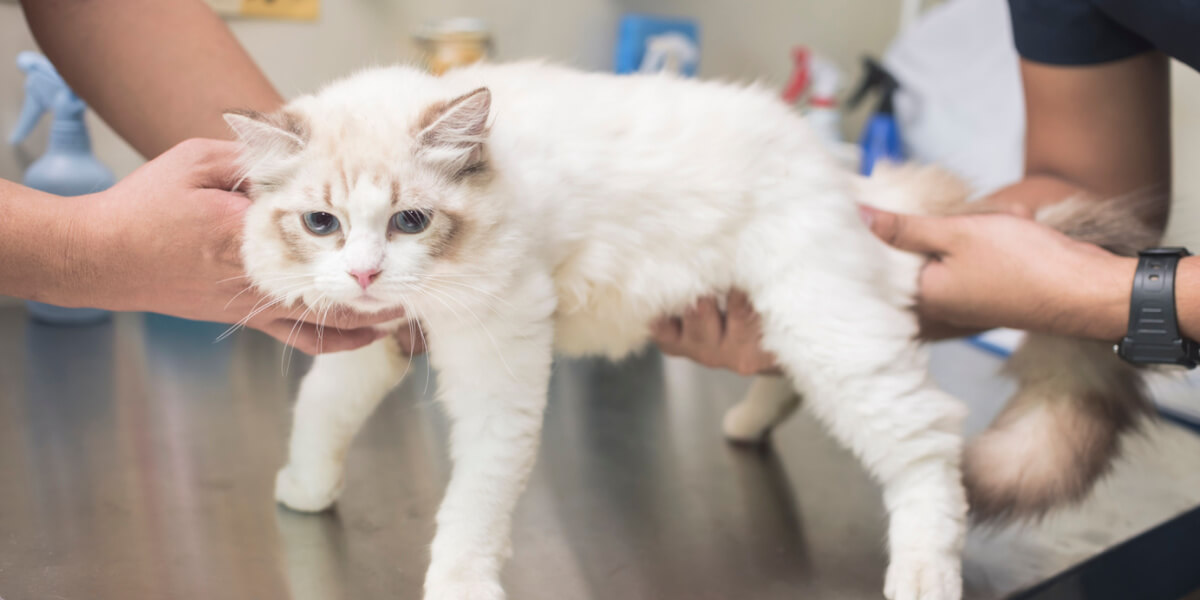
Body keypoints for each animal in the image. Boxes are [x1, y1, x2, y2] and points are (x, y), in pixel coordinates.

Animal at [225, 60, 1152, 600]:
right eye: (321, 224)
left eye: (411, 221)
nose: (365, 273)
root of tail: (849, 176)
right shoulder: (379, 339)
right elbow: (323, 416)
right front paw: (305, 490)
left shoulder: (499, 373)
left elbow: (473, 509)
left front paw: (457, 583)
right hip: (799, 329)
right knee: (796, 388)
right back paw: (747, 426)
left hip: (827, 331)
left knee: (930, 447)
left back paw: (923, 575)